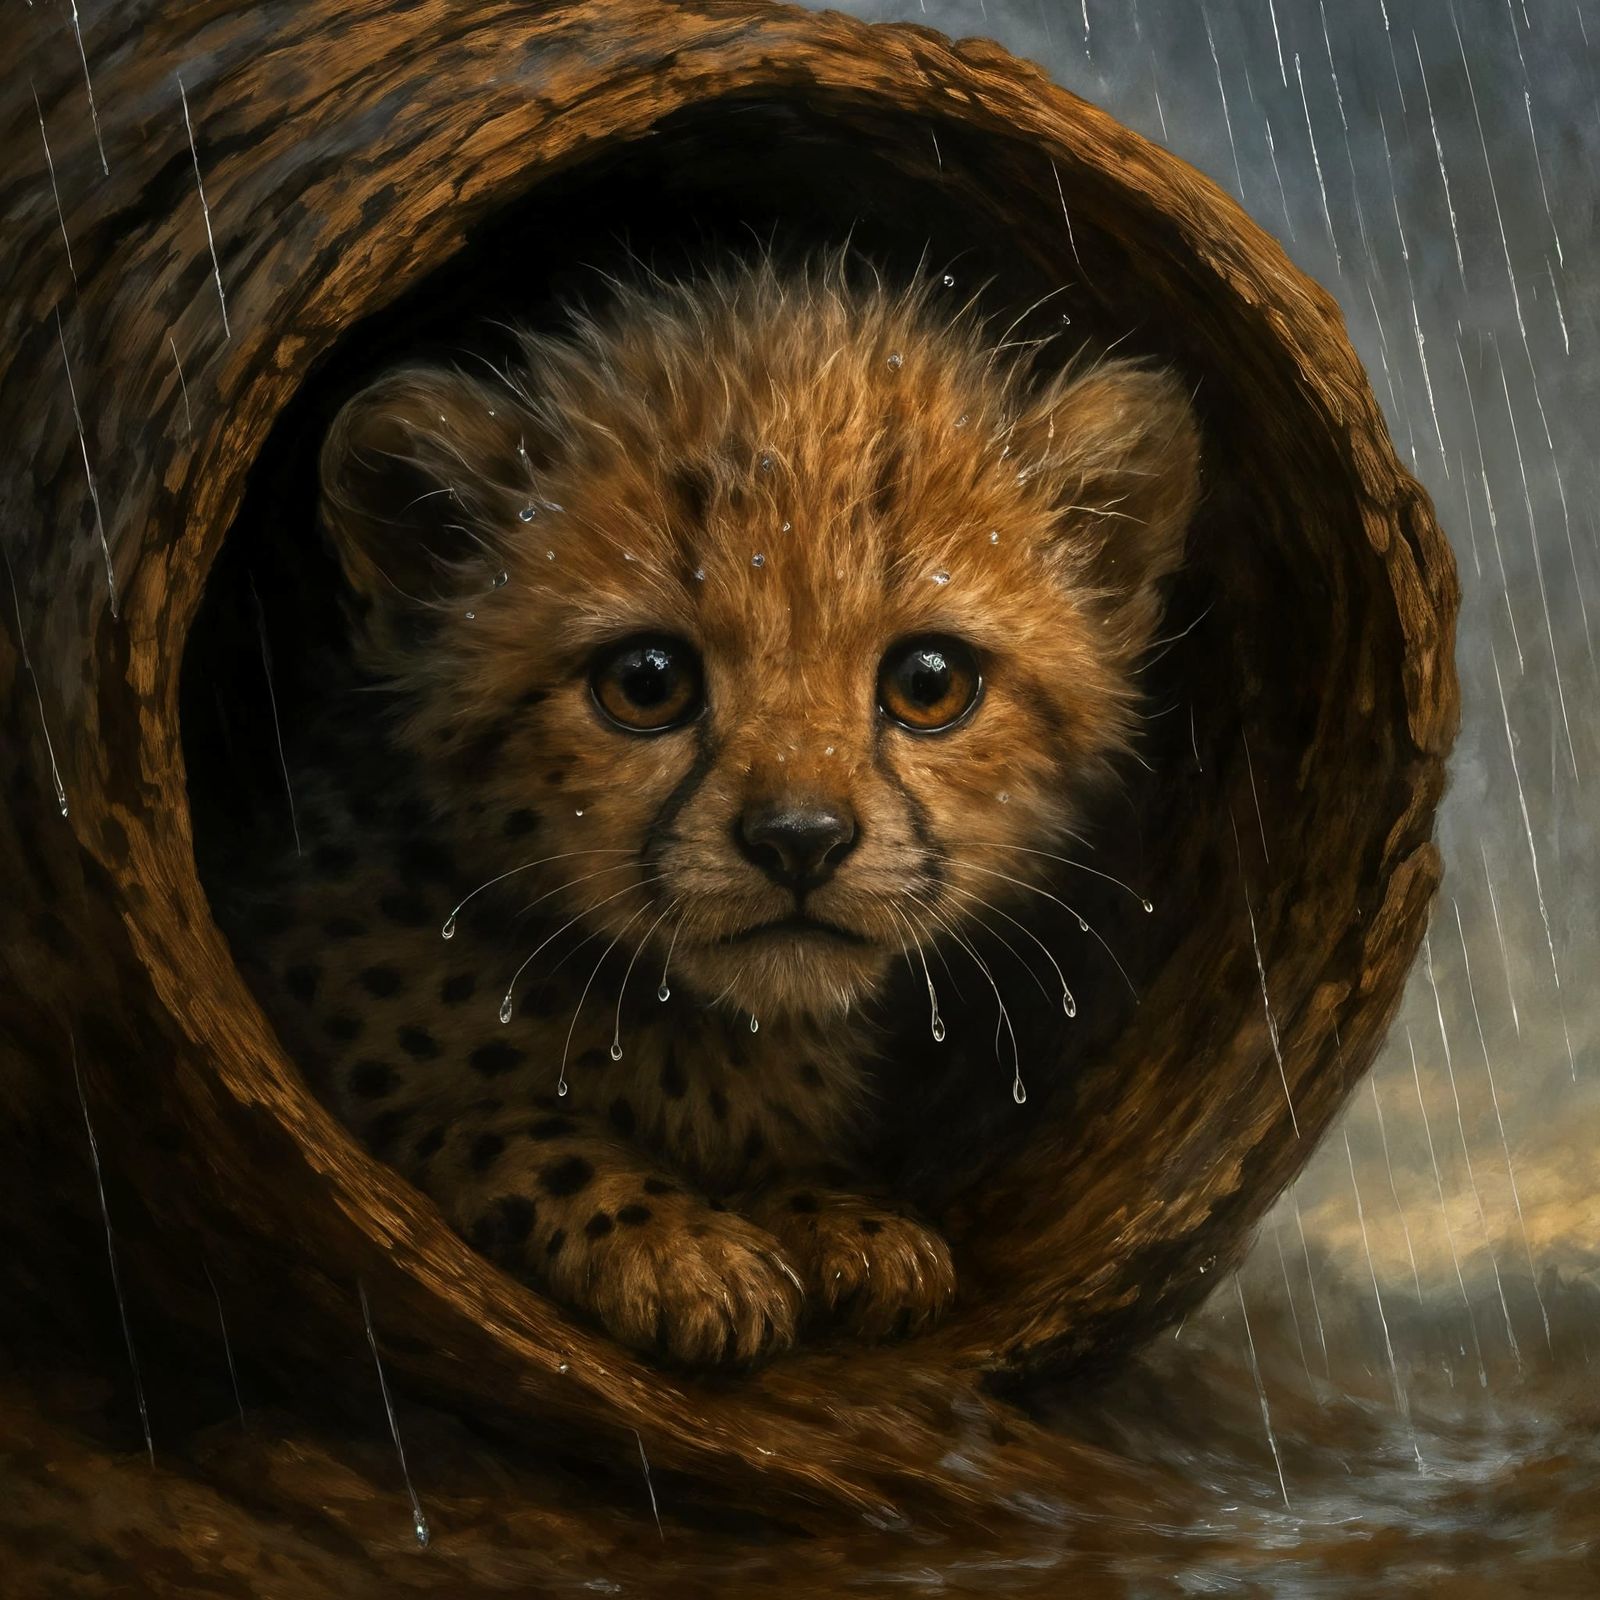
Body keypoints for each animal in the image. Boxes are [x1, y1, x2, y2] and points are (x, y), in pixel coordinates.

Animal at [222, 248, 1200, 1368]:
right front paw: (677, 1247)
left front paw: (839, 1215)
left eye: (929, 681)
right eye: (646, 682)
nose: (799, 842)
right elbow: (498, 1121)